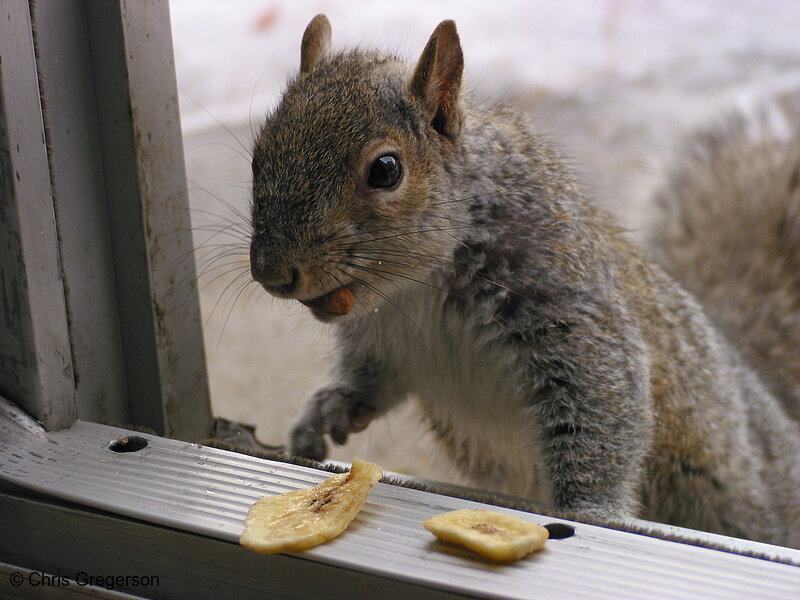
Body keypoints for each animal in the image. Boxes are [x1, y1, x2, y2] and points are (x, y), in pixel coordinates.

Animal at [248, 15, 800, 548]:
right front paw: (330, 411)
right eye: (259, 154)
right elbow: (373, 381)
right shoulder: (383, 339)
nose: (272, 273)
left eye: (386, 170)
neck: (422, 286)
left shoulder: (567, 303)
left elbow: (600, 401)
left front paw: (591, 513)